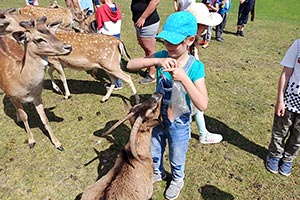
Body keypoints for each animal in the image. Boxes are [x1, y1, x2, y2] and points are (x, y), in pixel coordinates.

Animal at [0, 17, 72, 151]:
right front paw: (31, 141)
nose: (68, 47)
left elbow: (45, 118)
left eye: (52, 32)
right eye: (39, 39)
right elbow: (25, 116)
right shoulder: (14, 96)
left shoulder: (38, 95)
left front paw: (58, 144)